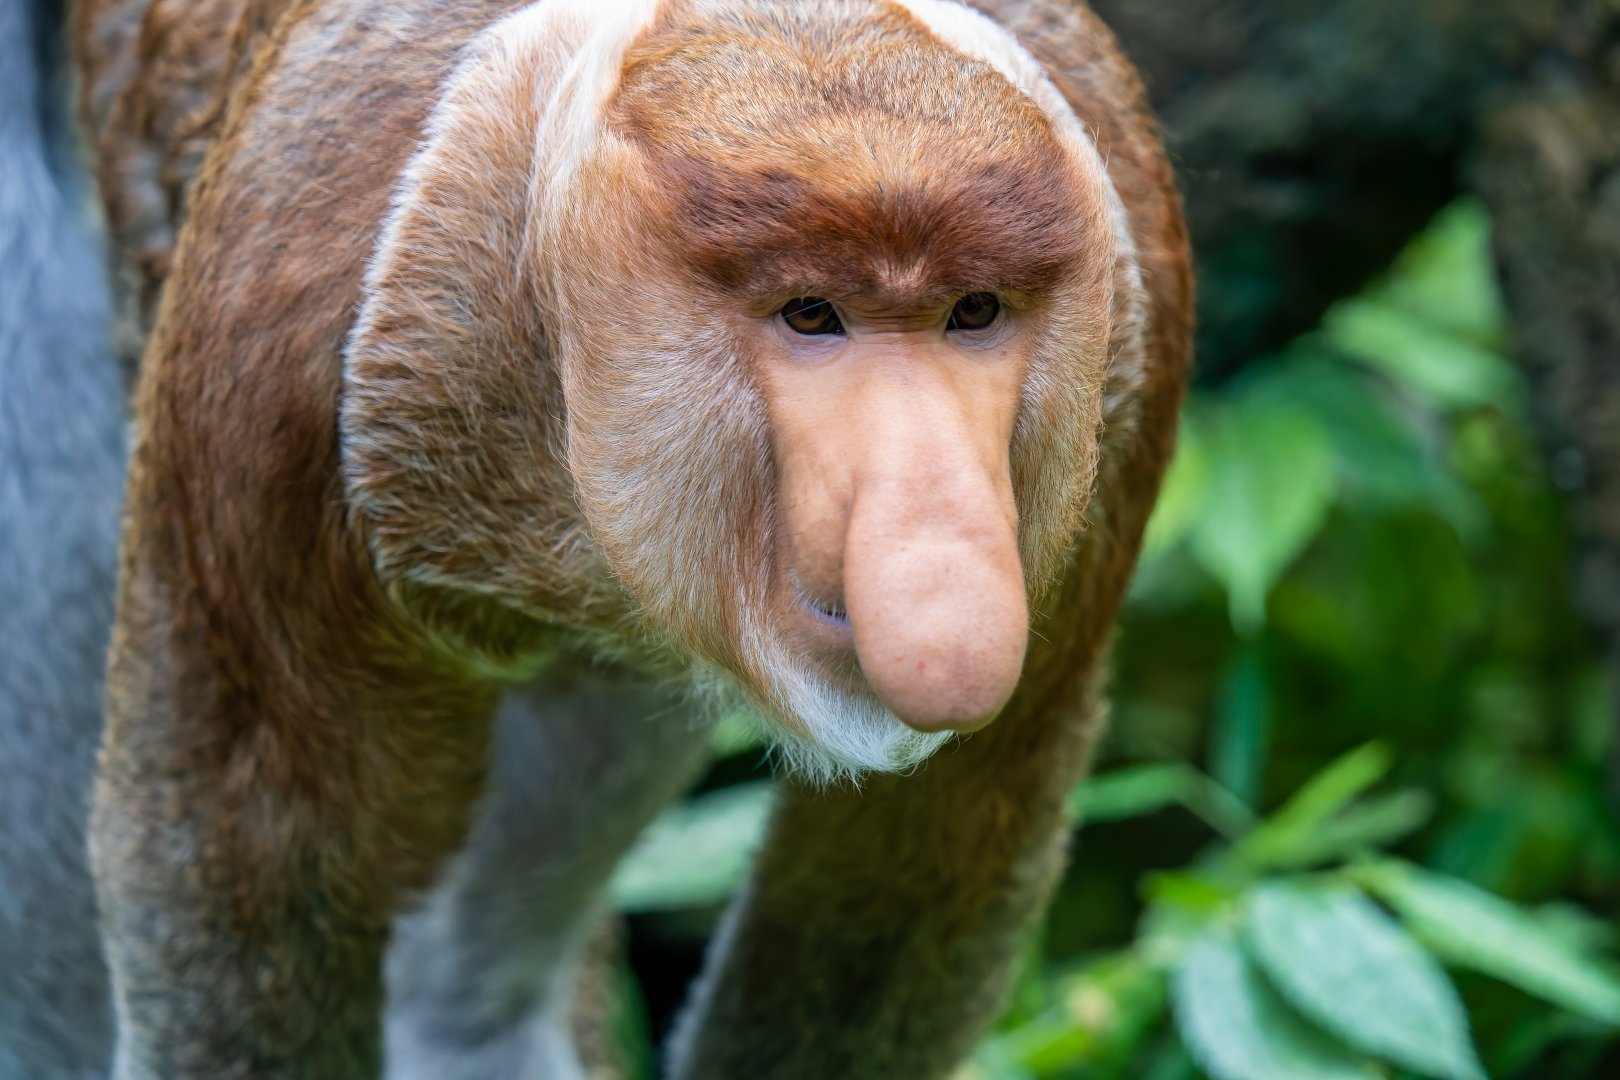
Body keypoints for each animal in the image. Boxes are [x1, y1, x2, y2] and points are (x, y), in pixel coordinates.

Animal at [72, 0, 1192, 1076]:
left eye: (974, 311)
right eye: (811, 314)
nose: (932, 524)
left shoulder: (1128, 322)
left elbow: (904, 867)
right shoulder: (272, 361)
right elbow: (253, 868)